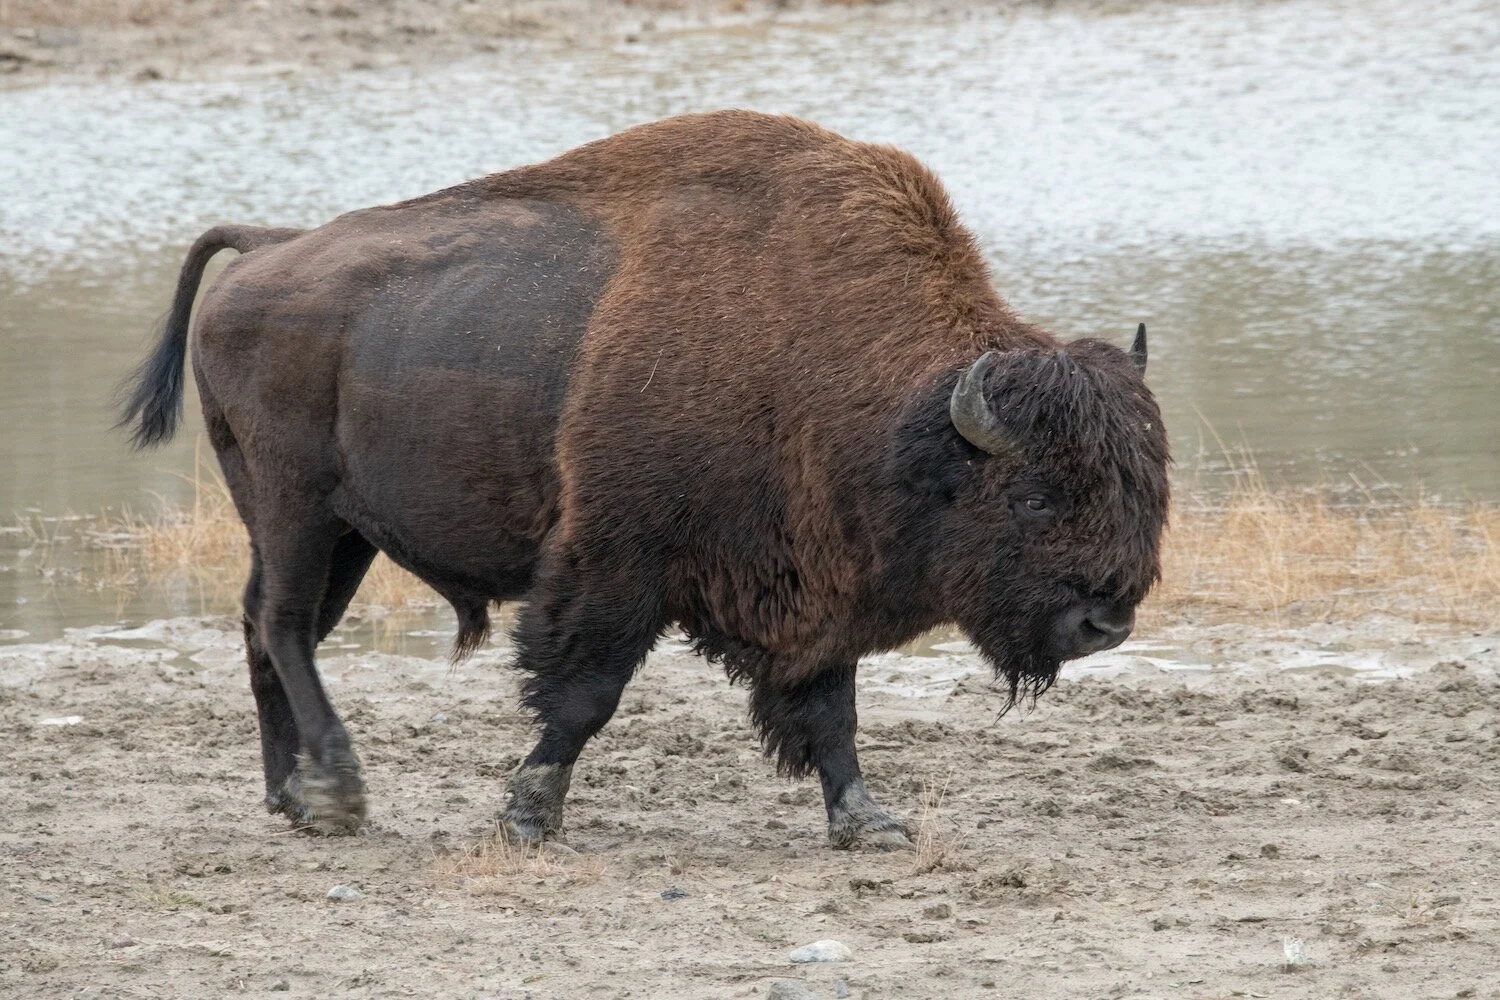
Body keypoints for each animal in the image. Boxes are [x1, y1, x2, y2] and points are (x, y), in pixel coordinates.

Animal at [120, 111, 1170, 849]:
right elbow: (585, 693)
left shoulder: (815, 588)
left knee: (265, 626)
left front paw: (868, 824)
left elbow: (831, 712)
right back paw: (338, 791)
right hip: (294, 505)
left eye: (1141, 492)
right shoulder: (616, 564)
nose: (1103, 623)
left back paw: (291, 798)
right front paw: (527, 815)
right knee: (283, 623)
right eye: (1031, 494)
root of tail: (267, 249)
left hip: (343, 533)